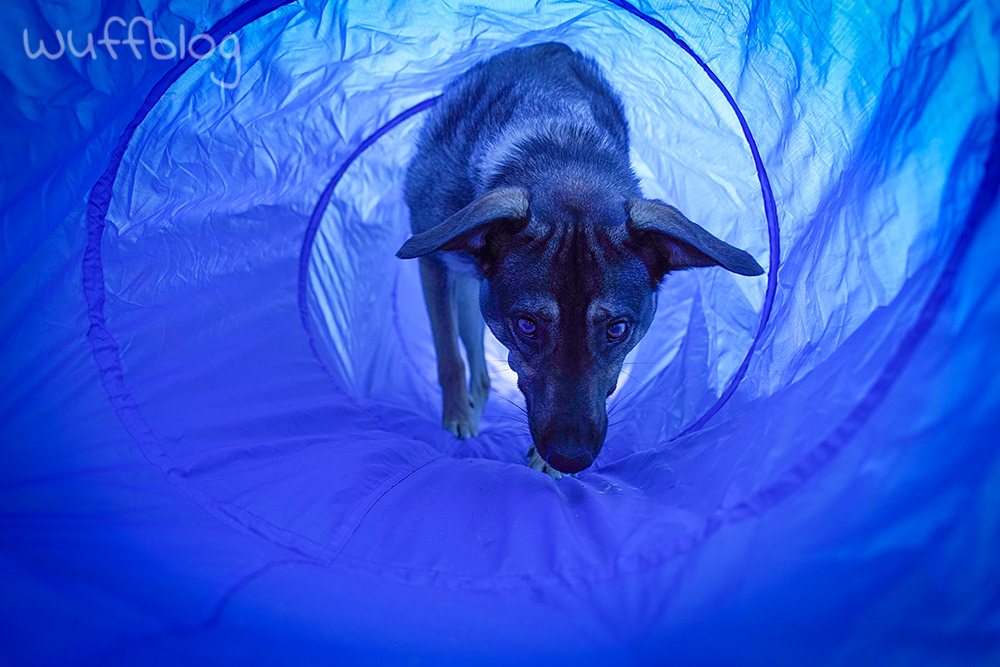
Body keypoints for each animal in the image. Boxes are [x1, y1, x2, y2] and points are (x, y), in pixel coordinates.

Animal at [394, 41, 760, 478]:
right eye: (527, 325)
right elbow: (448, 354)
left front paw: (539, 461)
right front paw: (456, 418)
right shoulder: (431, 259)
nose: (571, 458)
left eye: (617, 329)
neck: (564, 155)